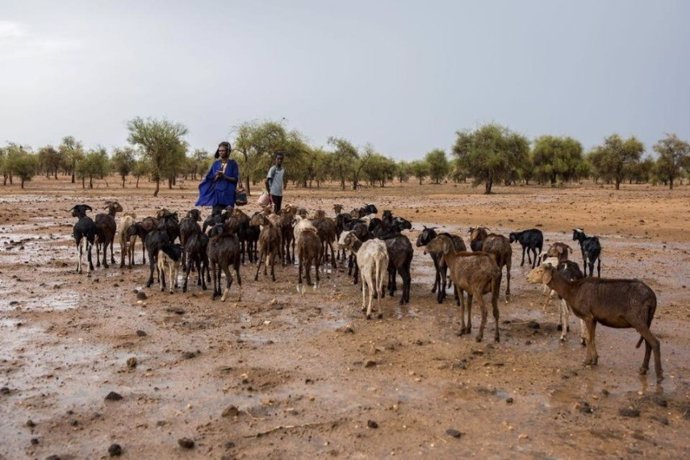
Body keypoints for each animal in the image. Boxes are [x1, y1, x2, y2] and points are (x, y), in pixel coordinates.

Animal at [528, 264, 660, 382]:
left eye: (540, 271)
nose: (527, 277)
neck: (572, 291)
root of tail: (653, 297)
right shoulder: (594, 318)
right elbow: (593, 338)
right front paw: (595, 359)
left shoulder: (588, 316)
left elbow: (588, 338)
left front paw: (587, 361)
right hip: (647, 319)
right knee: (648, 343)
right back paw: (643, 369)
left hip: (637, 319)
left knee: (654, 342)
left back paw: (659, 375)